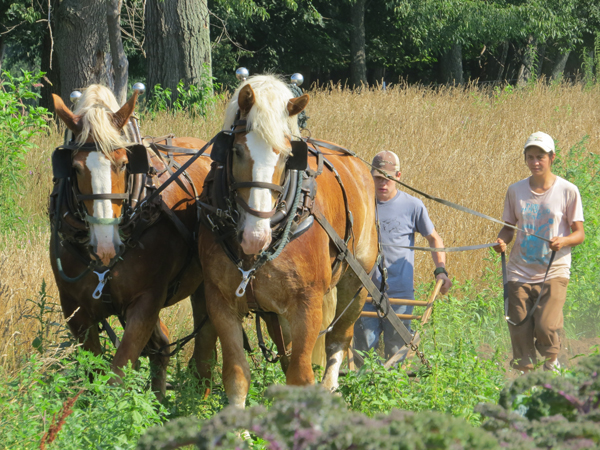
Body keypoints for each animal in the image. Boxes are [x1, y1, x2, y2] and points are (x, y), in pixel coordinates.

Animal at [49, 86, 213, 400]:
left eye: (124, 164)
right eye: (75, 168)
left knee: (206, 336)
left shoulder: (147, 300)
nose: (105, 246)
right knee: (163, 345)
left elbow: (118, 375)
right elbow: (95, 373)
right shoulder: (74, 308)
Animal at [196, 74, 376, 408]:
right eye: (236, 150)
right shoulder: (221, 302)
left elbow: (300, 376)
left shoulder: (307, 304)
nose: (255, 237)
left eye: (287, 155)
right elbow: (237, 375)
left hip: (357, 285)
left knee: (337, 340)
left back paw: (331, 387)